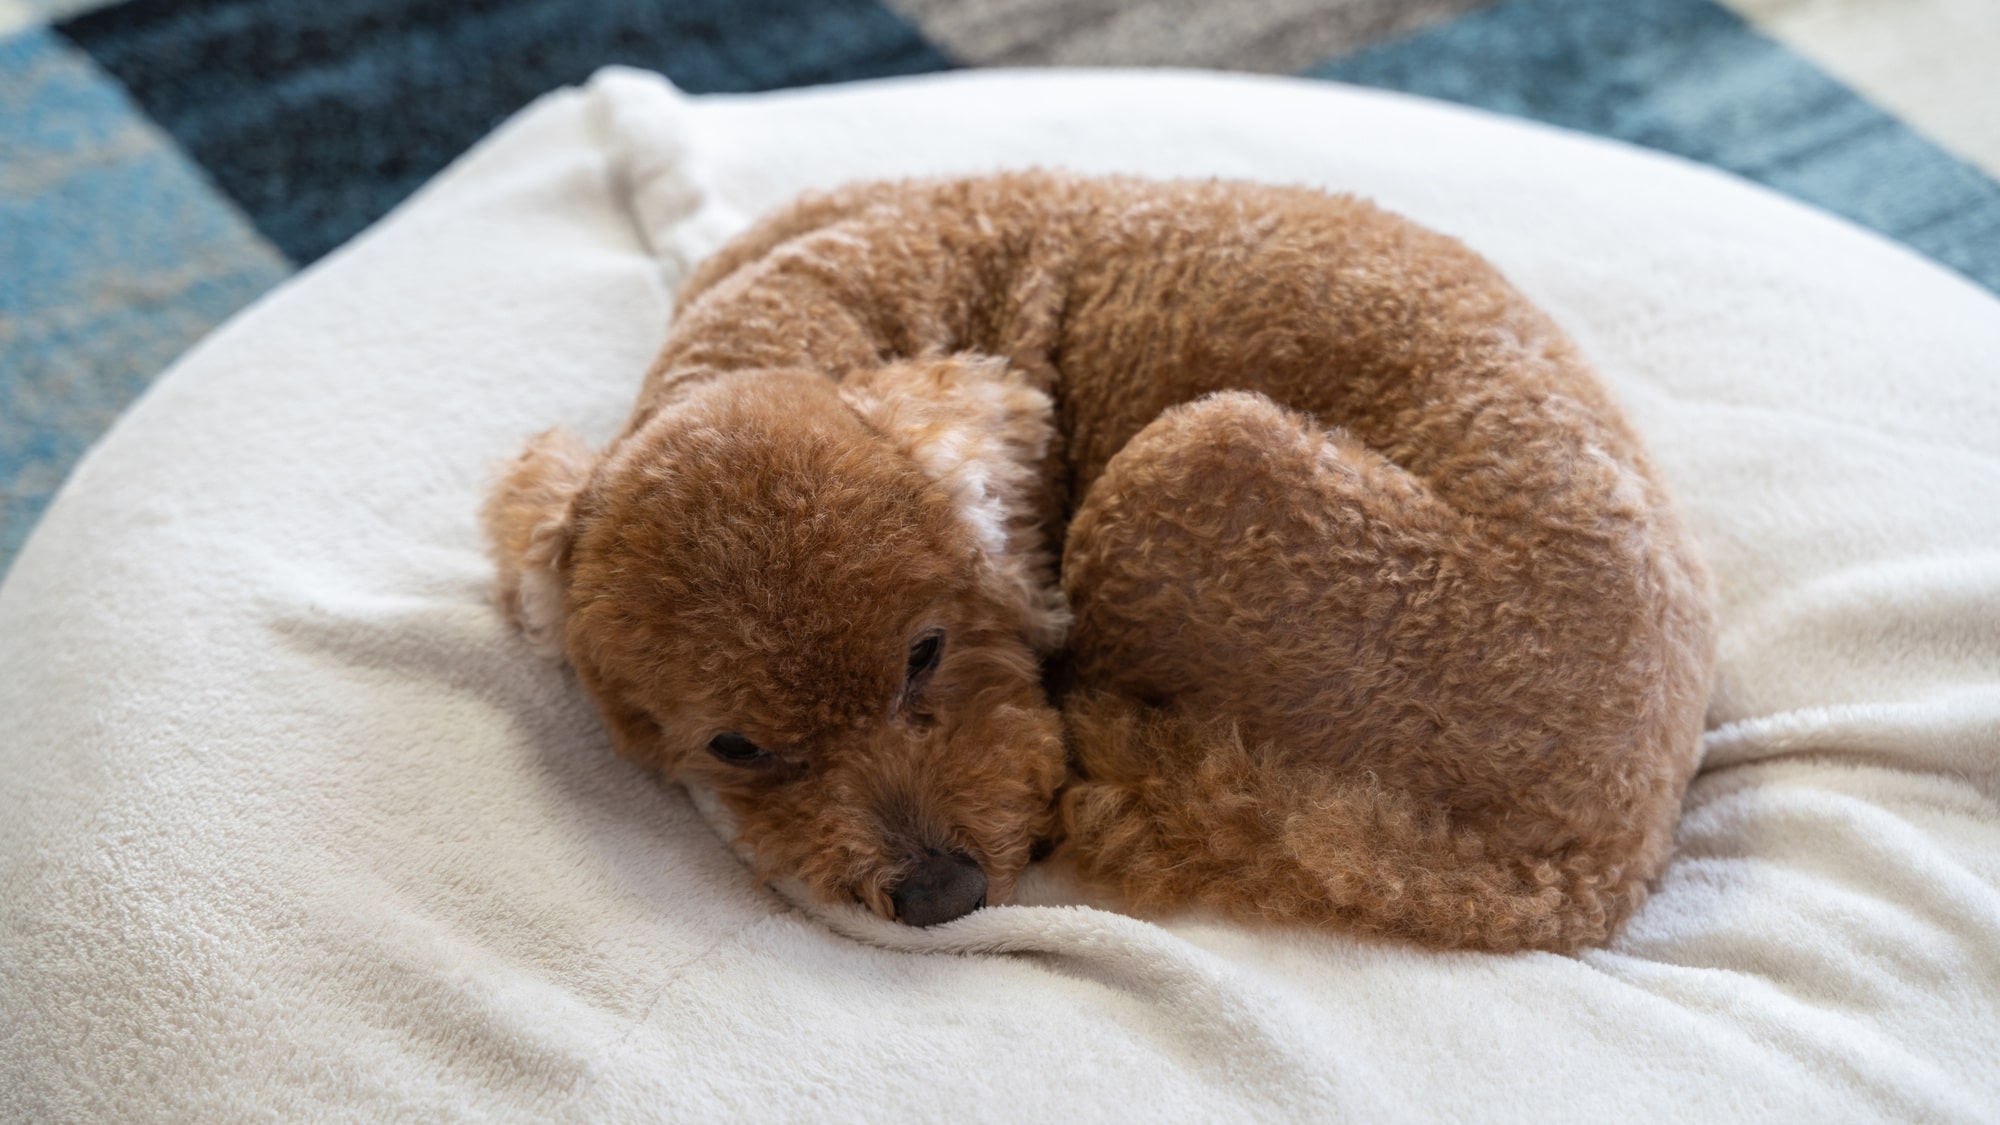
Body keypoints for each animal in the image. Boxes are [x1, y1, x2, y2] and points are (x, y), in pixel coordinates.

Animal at [483, 172, 1716, 952]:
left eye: (925, 654)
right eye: (734, 748)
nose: (940, 892)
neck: (823, 308)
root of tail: (1602, 861)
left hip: (1185, 467)